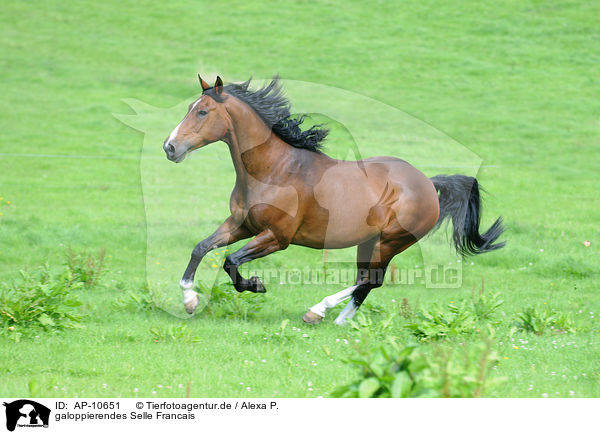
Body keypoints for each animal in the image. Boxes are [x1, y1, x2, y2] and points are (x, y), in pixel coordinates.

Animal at [162, 75, 504, 326]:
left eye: (202, 111)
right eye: (190, 106)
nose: (170, 147)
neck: (274, 171)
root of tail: (428, 184)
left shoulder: (277, 237)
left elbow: (231, 261)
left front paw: (256, 285)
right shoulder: (241, 225)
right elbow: (201, 248)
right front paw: (189, 300)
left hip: (392, 241)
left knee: (370, 280)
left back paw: (318, 311)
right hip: (369, 241)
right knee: (367, 281)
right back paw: (340, 322)